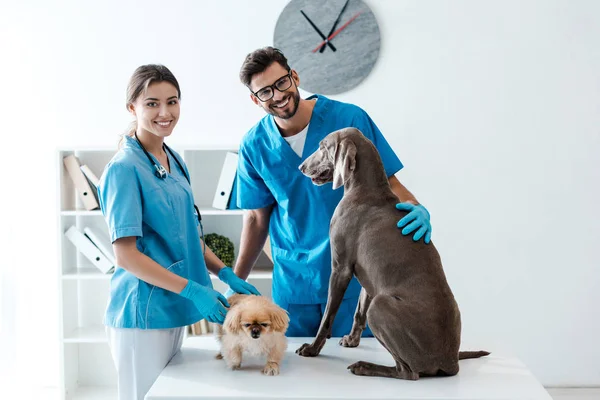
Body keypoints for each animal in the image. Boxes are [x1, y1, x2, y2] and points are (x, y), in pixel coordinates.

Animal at [296, 129, 488, 382]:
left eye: (322, 146)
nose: (301, 166)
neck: (367, 189)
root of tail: (450, 361)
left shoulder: (340, 268)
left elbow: (327, 317)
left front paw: (312, 348)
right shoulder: (367, 278)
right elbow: (358, 312)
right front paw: (351, 340)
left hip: (381, 305)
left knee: (408, 372)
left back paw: (365, 367)